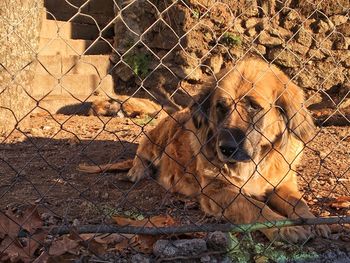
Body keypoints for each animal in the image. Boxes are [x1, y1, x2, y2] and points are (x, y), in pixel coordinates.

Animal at [78, 58, 330, 244]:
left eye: (253, 107)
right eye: (221, 106)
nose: (225, 148)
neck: (254, 163)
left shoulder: (282, 184)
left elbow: (299, 203)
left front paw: (316, 221)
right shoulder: (218, 191)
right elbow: (255, 207)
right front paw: (284, 228)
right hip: (163, 130)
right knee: (142, 150)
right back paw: (138, 171)